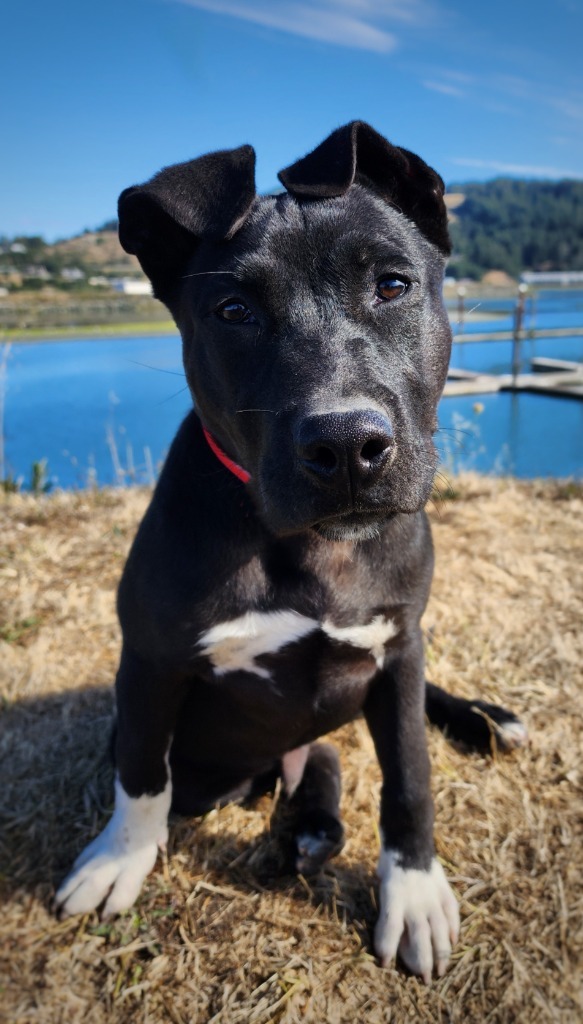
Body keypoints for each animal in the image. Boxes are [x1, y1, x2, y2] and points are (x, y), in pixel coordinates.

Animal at [55, 123, 528, 978]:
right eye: (234, 309)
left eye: (393, 285)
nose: (345, 446)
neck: (312, 551)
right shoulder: (150, 658)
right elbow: (140, 770)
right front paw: (118, 861)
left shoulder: (399, 641)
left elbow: (409, 773)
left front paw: (412, 891)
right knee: (290, 772)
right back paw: (301, 833)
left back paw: (480, 722)